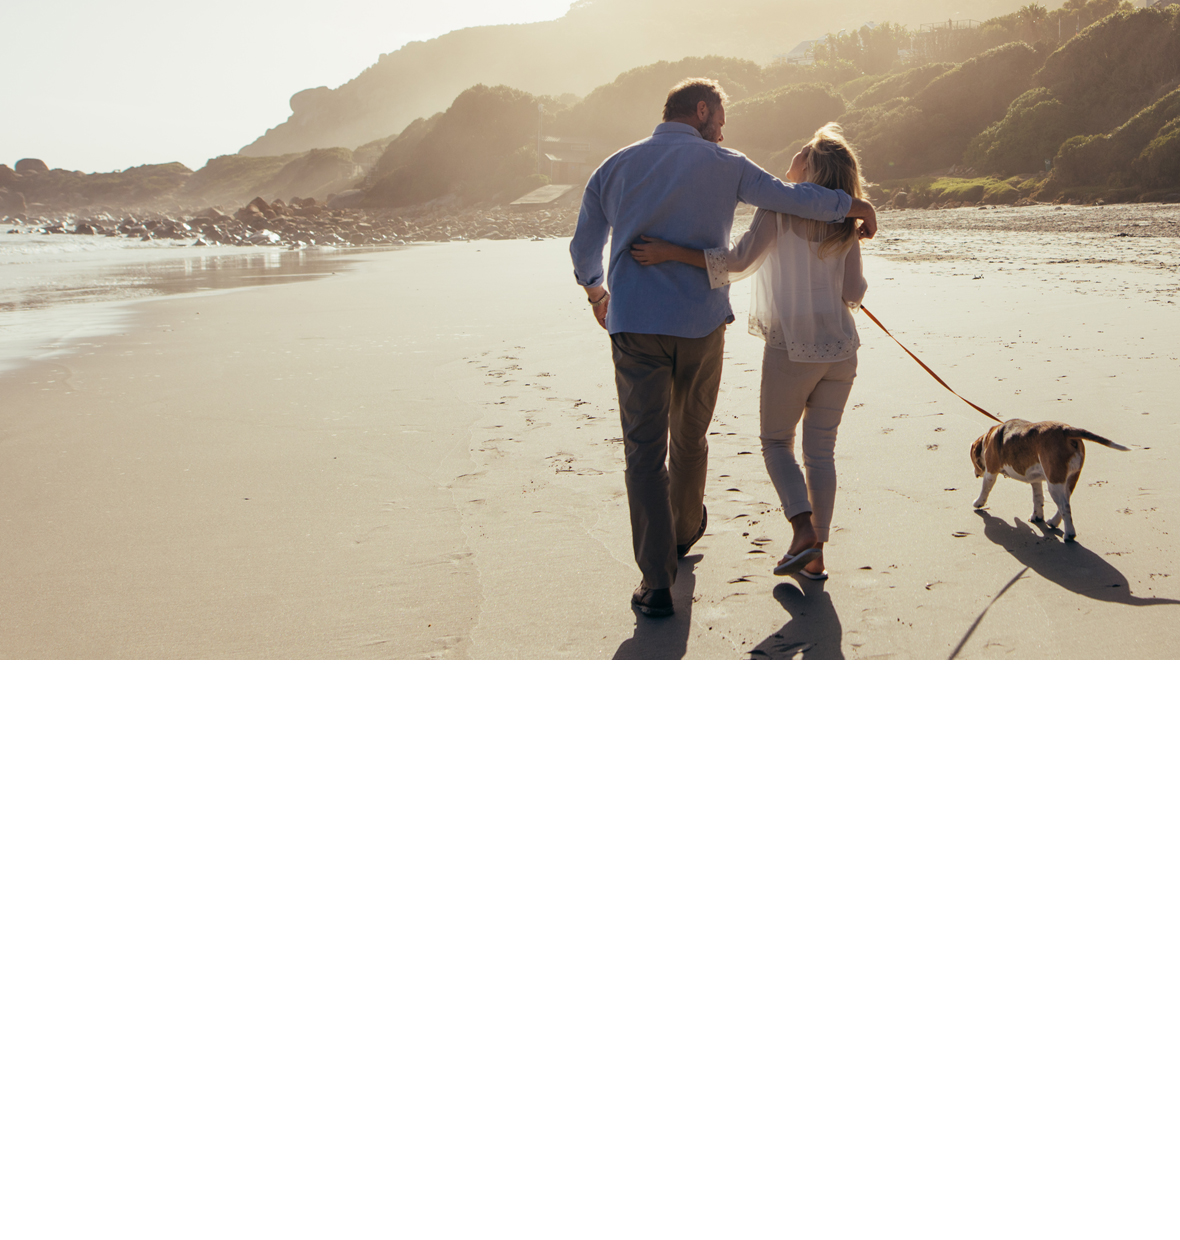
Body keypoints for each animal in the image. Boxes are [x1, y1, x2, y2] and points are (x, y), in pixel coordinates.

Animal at [971, 419, 1130, 540]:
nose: (975, 474)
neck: (989, 438)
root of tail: (1066, 430)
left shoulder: (991, 472)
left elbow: (985, 489)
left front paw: (979, 502)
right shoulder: (1035, 481)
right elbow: (1038, 499)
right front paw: (1037, 516)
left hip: (1054, 482)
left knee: (1065, 506)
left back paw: (1069, 535)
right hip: (1069, 479)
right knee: (1065, 502)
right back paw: (1053, 522)